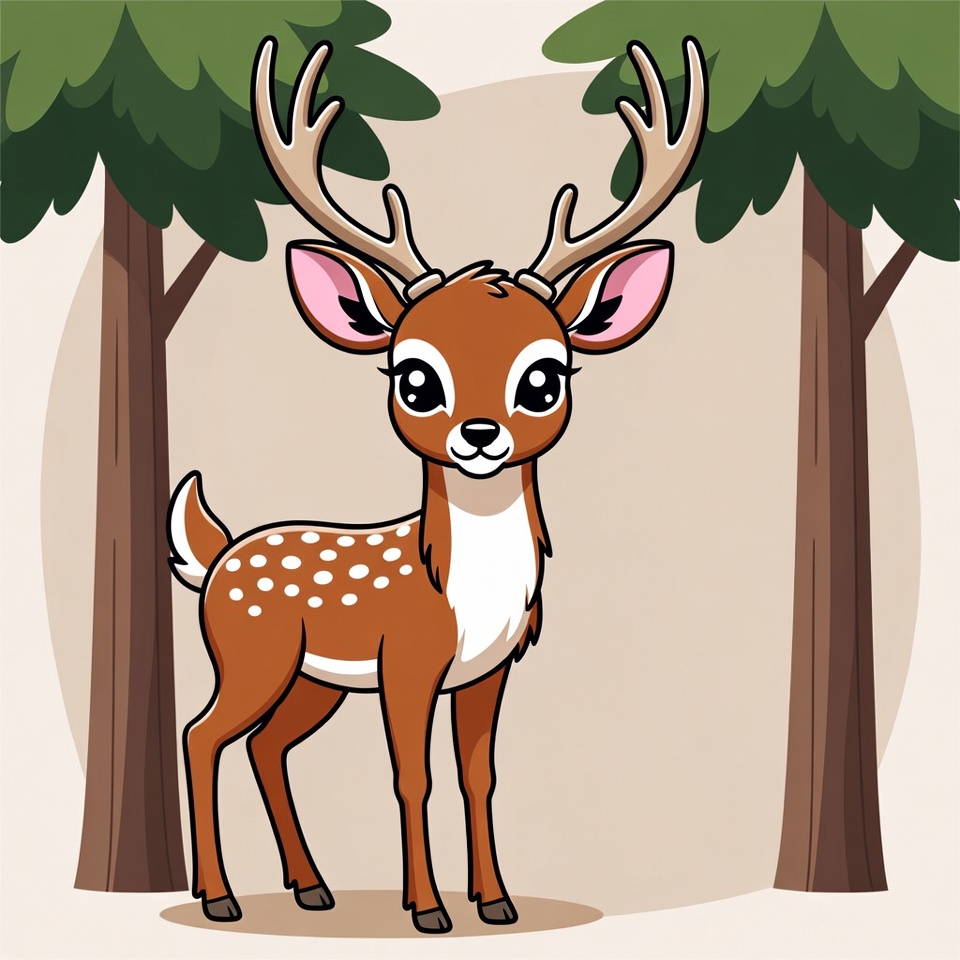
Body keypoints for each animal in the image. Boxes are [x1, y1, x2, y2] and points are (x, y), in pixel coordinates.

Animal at [167, 34, 706, 933]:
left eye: (545, 377)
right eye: (414, 378)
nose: (479, 436)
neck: (465, 593)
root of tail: (216, 559)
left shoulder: (488, 669)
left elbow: (477, 775)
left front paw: (497, 901)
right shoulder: (407, 661)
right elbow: (410, 775)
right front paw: (427, 910)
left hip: (312, 681)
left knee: (266, 745)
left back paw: (311, 887)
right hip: (251, 652)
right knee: (204, 734)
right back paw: (221, 898)